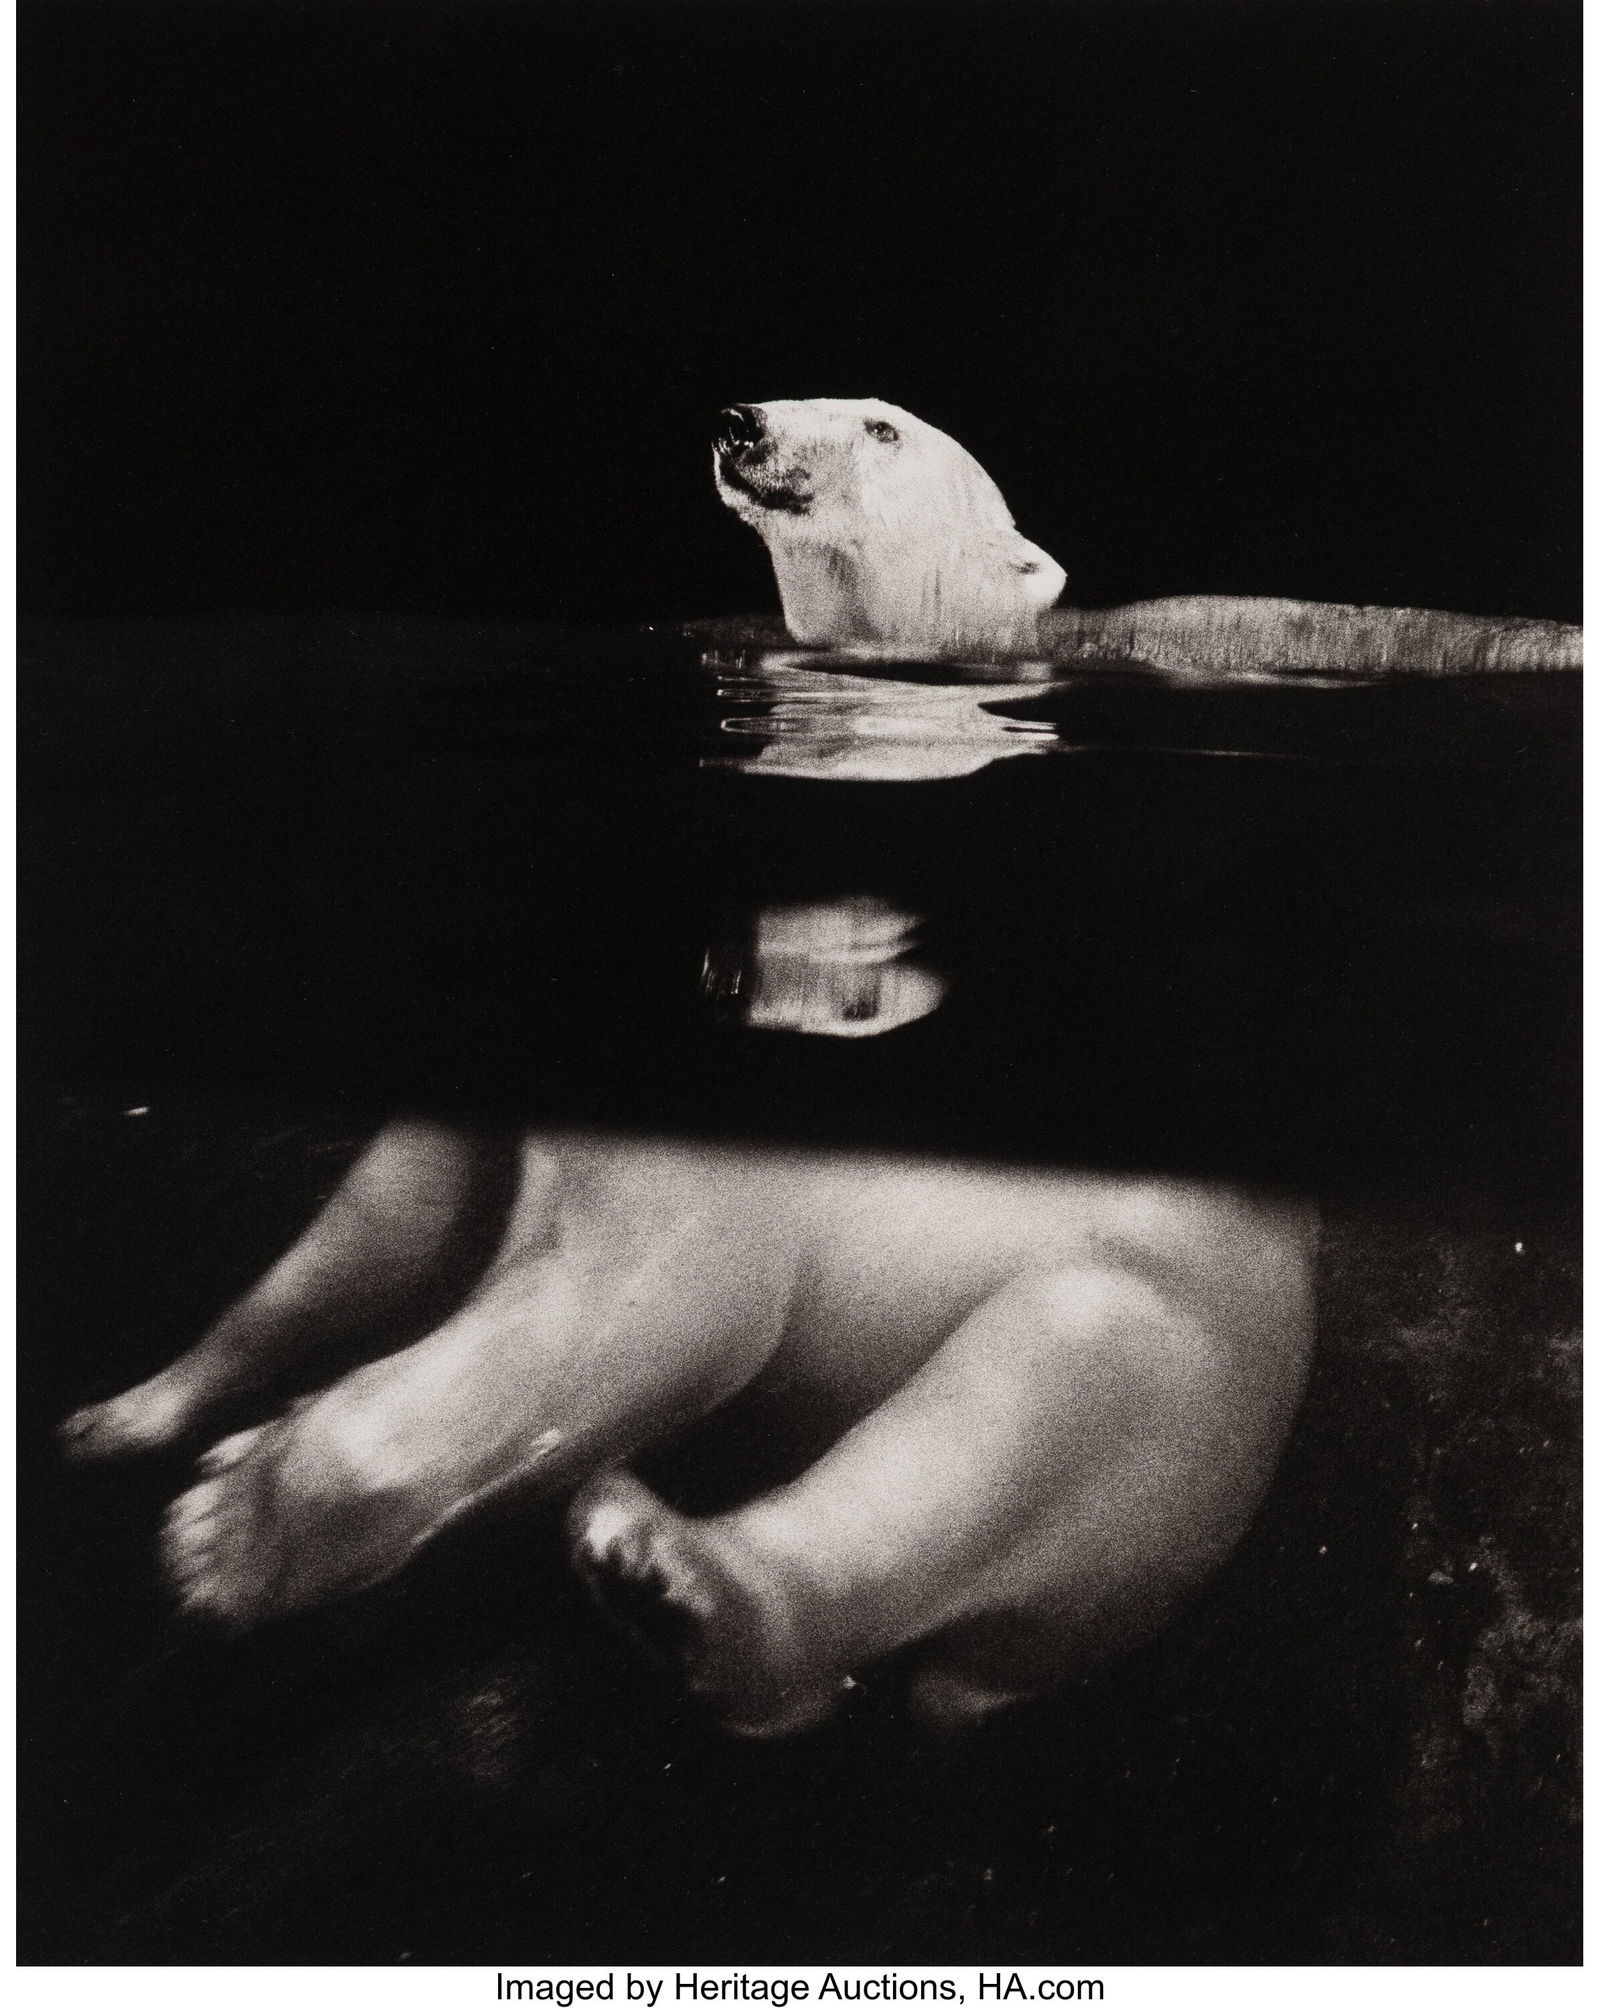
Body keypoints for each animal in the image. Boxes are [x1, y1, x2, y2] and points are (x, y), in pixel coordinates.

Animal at [61, 1123, 1316, 1737]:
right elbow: (371, 1232)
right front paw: (130, 1415)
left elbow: (656, 1314)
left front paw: (225, 1532)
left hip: (1179, 1366)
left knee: (1030, 1391)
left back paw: (675, 1581)